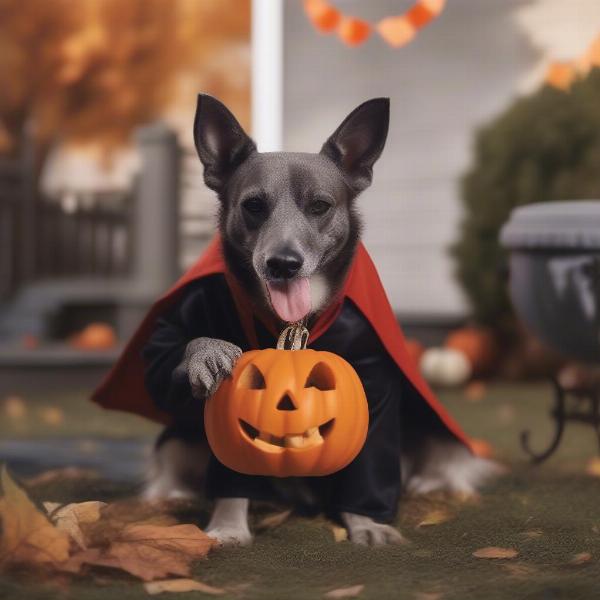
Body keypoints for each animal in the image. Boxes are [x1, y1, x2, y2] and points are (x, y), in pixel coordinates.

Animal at [141, 92, 502, 544]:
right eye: (253, 206)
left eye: (320, 206)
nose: (283, 264)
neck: (293, 325)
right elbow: (173, 356)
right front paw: (227, 526)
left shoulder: (375, 386)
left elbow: (368, 465)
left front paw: (367, 523)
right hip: (175, 438)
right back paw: (169, 496)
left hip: (439, 434)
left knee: (449, 459)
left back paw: (431, 485)